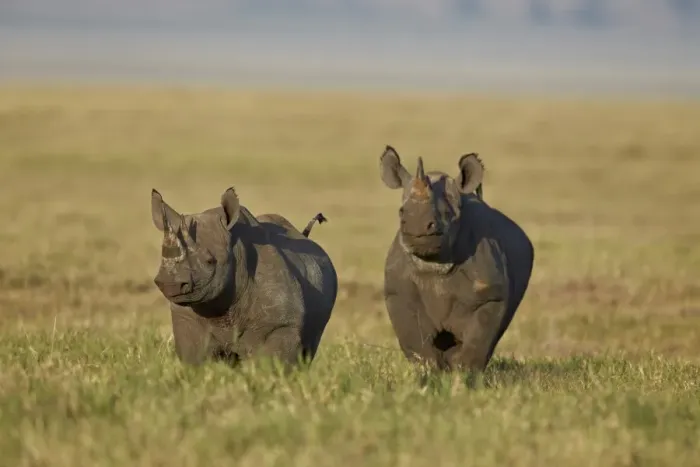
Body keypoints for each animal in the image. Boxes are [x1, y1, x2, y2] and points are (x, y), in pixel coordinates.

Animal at [150, 186, 337, 369]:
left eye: (210, 262)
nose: (170, 284)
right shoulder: (188, 321)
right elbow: (194, 360)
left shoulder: (280, 325)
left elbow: (271, 363)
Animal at [379, 145, 534, 372]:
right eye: (401, 211)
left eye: (446, 213)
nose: (418, 226)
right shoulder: (399, 293)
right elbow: (416, 345)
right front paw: (429, 372)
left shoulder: (490, 295)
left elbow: (477, 340)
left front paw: (463, 374)